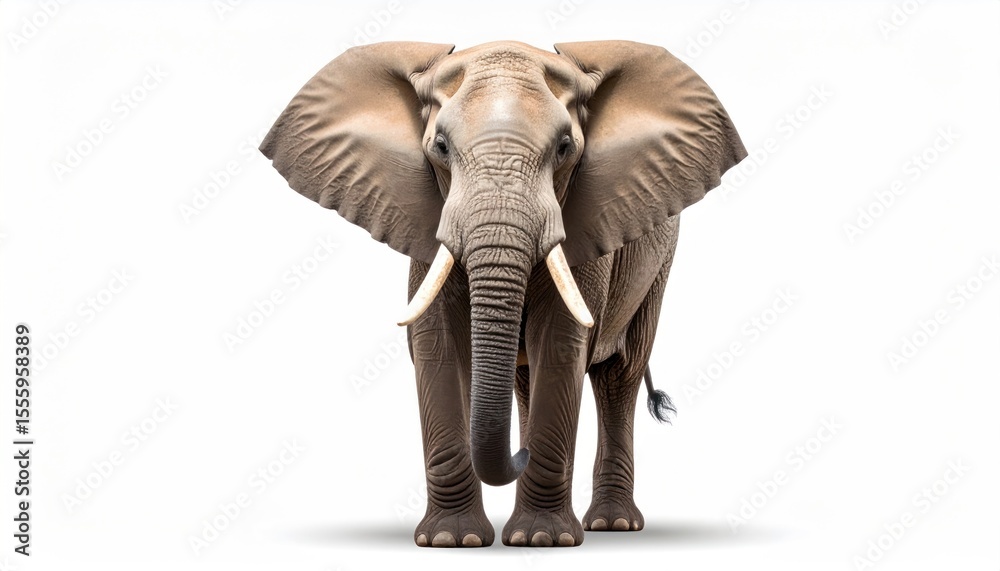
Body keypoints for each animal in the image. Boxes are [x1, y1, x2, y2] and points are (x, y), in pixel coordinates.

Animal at [260, 40, 746, 547]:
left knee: (619, 376)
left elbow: (560, 343)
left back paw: (612, 524)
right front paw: (452, 540)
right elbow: (437, 345)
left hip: (658, 262)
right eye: (440, 147)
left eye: (565, 148)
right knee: (531, 381)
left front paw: (543, 540)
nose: (519, 454)